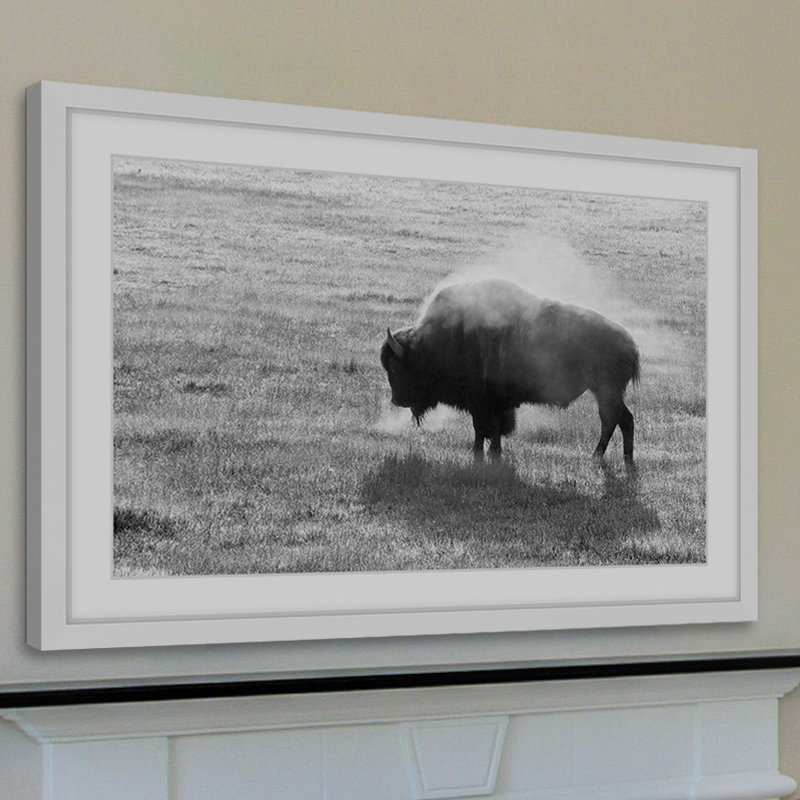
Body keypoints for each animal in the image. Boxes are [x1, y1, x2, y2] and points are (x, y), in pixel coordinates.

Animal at [380, 278, 640, 463]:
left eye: (395, 367)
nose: (396, 400)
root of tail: (630, 344)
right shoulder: (495, 405)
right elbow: (492, 430)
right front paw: (492, 453)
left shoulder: (481, 404)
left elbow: (482, 429)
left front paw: (480, 455)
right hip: (605, 393)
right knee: (618, 420)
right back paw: (613, 457)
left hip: (606, 392)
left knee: (617, 420)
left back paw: (605, 456)